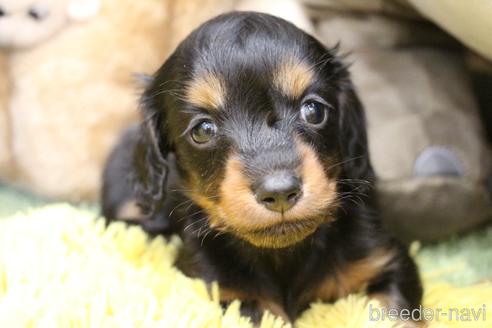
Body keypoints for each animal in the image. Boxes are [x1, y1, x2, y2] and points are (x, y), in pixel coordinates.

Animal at [101, 12, 422, 322]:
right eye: (203, 130)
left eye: (313, 110)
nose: (279, 193)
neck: (284, 254)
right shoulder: (227, 291)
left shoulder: (385, 260)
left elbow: (395, 312)